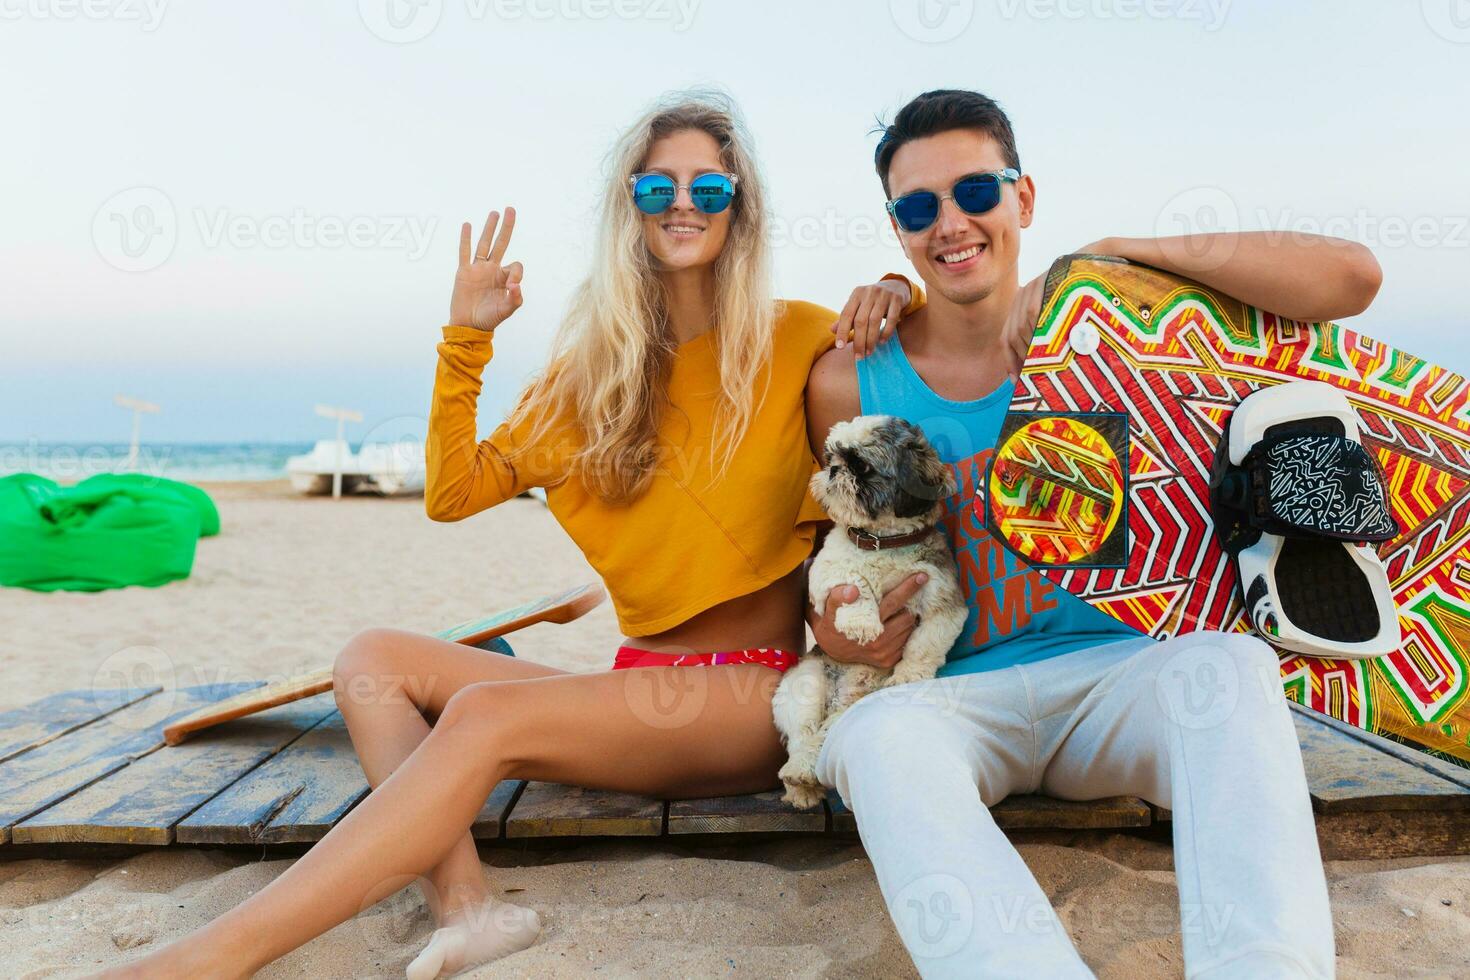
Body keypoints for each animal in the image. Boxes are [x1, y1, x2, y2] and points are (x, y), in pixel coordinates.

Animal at [776, 417, 970, 811]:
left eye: (861, 466)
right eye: (831, 456)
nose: (833, 470)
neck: (882, 543)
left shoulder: (944, 599)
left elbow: (925, 644)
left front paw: (908, 675)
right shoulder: (825, 573)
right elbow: (854, 581)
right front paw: (862, 624)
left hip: (847, 712)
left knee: (821, 737)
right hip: (804, 685)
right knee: (803, 735)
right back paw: (798, 778)